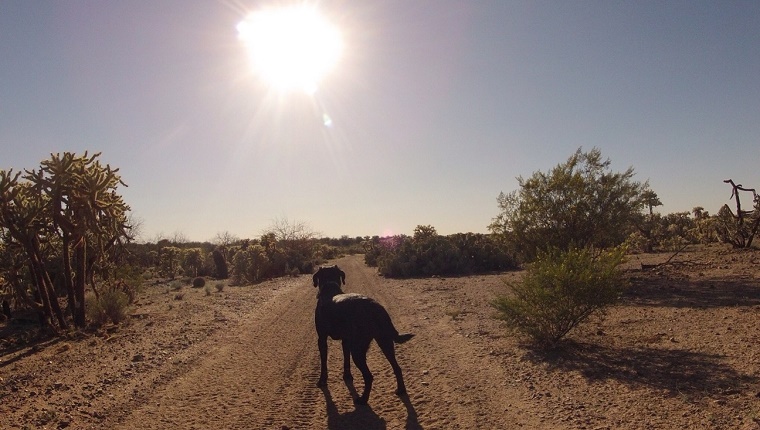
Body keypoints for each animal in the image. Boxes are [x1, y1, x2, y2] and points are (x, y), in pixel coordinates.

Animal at [312, 264, 412, 404]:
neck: (329, 287)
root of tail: (374, 306)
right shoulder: (346, 340)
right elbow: (346, 360)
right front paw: (347, 376)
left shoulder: (322, 339)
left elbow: (324, 364)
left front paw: (322, 381)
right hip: (384, 341)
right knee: (397, 368)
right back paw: (401, 390)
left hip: (358, 350)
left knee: (369, 376)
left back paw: (363, 399)